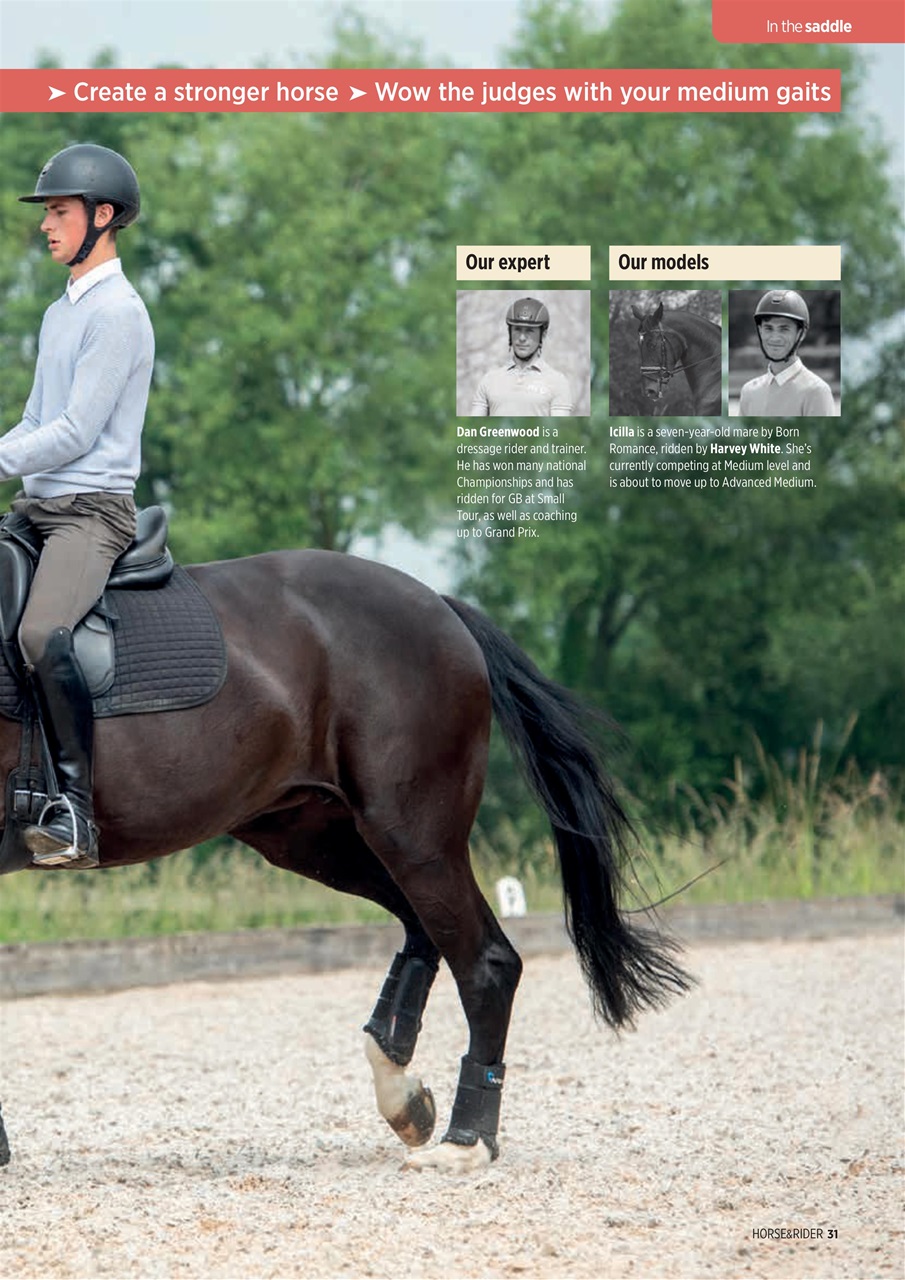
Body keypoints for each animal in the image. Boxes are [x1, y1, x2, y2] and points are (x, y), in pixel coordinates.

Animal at [0, 549, 691, 1172]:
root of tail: (439, 605)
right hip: (312, 836)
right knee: (424, 930)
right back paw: (403, 1093)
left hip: (411, 835)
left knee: (485, 961)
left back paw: (465, 1143)